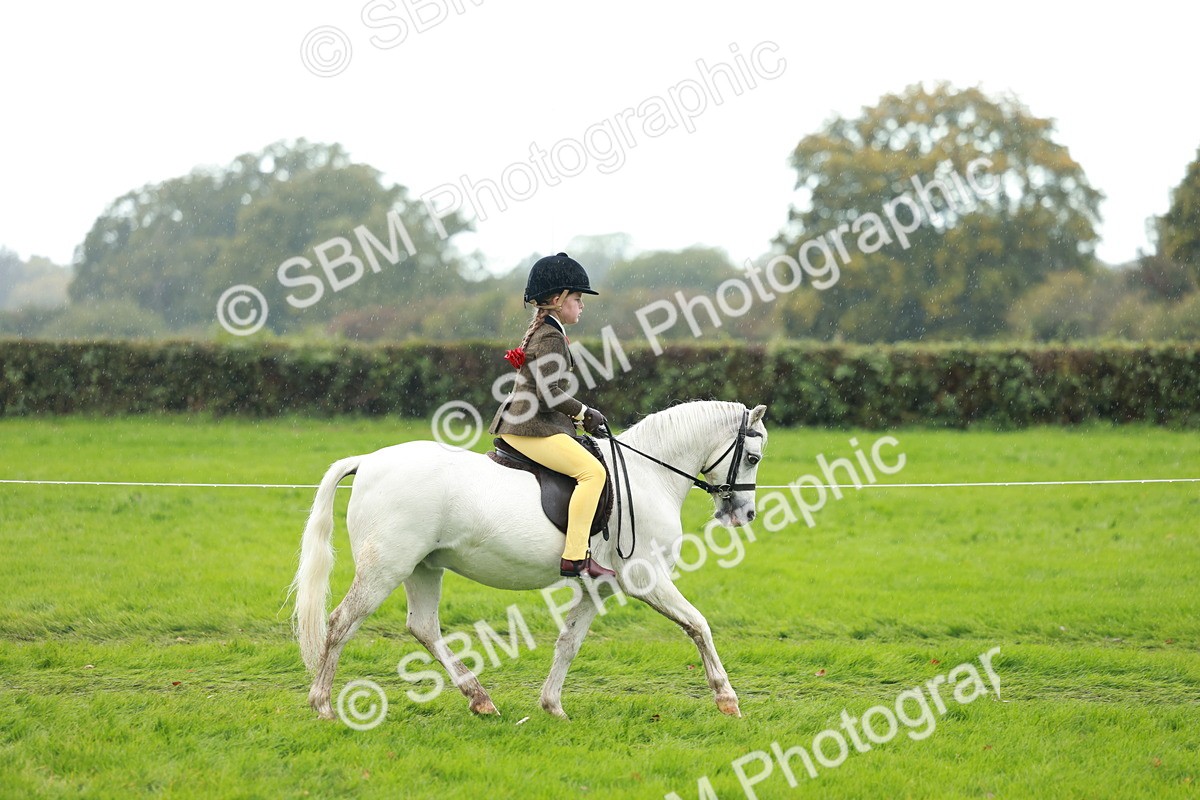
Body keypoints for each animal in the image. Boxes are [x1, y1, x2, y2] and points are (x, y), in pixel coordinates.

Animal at [291, 400, 768, 721]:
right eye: (752, 457)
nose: (744, 514)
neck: (648, 476)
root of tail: (368, 462)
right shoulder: (646, 579)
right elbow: (698, 625)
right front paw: (727, 699)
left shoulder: (599, 587)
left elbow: (568, 642)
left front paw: (552, 705)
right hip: (385, 568)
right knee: (341, 622)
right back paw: (323, 705)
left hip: (423, 567)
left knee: (423, 627)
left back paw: (480, 698)